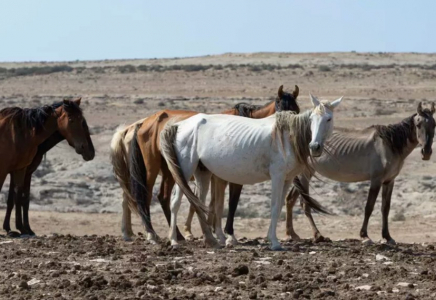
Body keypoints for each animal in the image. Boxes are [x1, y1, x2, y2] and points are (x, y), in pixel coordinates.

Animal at [0, 99, 94, 236]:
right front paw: (15, 228)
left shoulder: (22, 170)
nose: (89, 151)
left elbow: (20, 198)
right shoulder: (6, 170)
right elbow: (16, 198)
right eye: (71, 119)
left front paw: (21, 228)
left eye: (82, 121)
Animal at [110, 84, 300, 241]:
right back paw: (152, 234)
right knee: (146, 195)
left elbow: (212, 203)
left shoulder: (216, 177)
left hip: (164, 171)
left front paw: (214, 232)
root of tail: (140, 125)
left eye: (297, 109)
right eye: (279, 105)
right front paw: (227, 235)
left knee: (144, 196)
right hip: (152, 169)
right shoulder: (229, 179)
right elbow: (227, 203)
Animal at [160, 95, 344, 250]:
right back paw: (174, 241)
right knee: (176, 202)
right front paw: (275, 242)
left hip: (202, 173)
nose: (315, 147)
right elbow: (274, 206)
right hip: (185, 169)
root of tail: (179, 125)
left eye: (329, 118)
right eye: (312, 119)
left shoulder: (287, 178)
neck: (288, 138)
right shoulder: (277, 177)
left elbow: (279, 206)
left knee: (198, 201)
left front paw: (271, 238)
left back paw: (211, 241)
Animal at [288, 102, 434, 245]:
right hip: (304, 175)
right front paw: (364, 235)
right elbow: (369, 207)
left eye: (434, 125)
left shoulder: (389, 181)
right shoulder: (376, 180)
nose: (426, 152)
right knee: (304, 203)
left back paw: (292, 234)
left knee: (290, 199)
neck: (389, 143)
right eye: (418, 125)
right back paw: (317, 235)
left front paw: (387, 236)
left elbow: (385, 208)